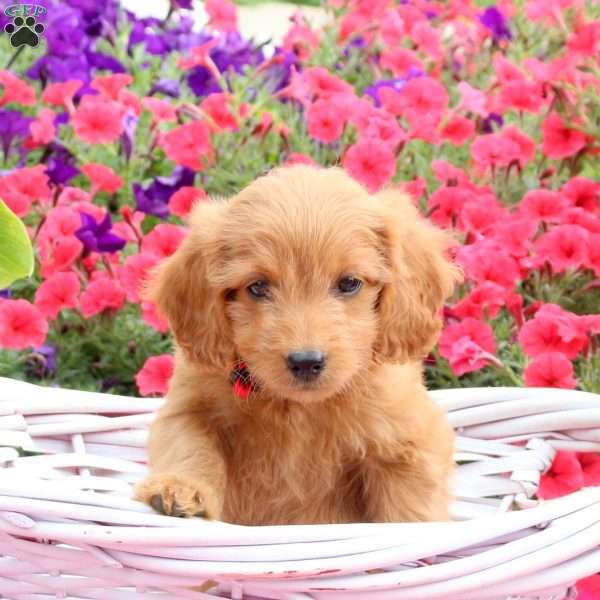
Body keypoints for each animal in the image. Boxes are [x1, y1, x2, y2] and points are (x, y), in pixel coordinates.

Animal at [135, 165, 460, 524]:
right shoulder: (189, 406)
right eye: (257, 287)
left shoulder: (406, 442)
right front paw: (179, 487)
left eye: (349, 283)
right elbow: (190, 446)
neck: (298, 409)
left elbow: (409, 509)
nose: (306, 361)